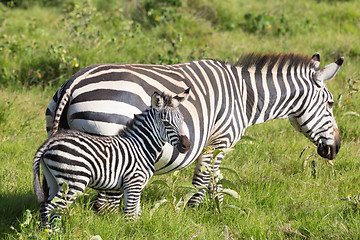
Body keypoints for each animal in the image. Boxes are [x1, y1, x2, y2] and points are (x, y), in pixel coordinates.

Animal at [32, 88, 191, 229]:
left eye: (182, 120)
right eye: (166, 123)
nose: (187, 145)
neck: (142, 145)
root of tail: (49, 143)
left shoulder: (137, 185)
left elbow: (137, 214)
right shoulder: (133, 183)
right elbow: (130, 216)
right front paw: (130, 232)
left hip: (54, 180)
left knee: (45, 207)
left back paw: (45, 232)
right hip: (73, 181)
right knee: (53, 208)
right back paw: (55, 233)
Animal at [46, 52, 344, 206]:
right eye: (330, 104)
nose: (336, 149)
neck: (245, 96)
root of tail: (74, 81)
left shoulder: (209, 142)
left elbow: (212, 179)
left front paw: (215, 209)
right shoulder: (220, 140)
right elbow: (205, 178)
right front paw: (199, 210)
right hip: (108, 149)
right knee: (104, 200)